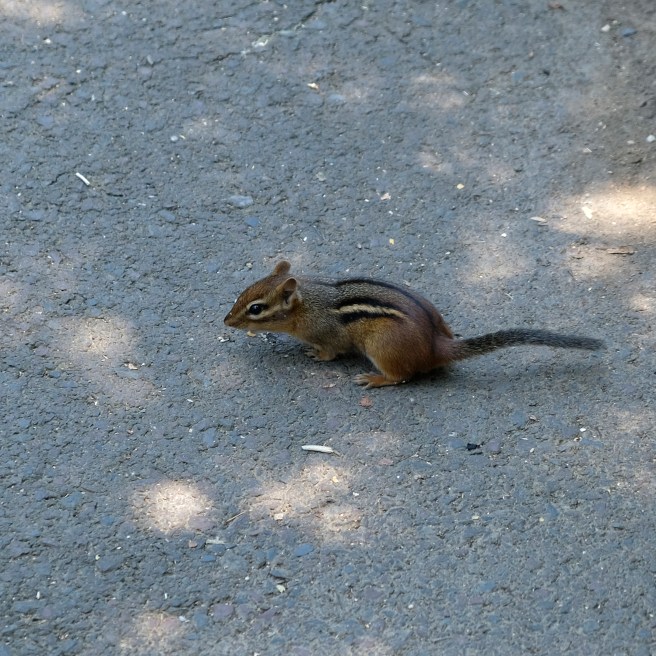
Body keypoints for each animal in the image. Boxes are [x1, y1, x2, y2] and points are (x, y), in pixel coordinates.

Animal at [224, 260, 605, 388]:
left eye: (256, 308)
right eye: (242, 294)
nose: (226, 321)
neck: (308, 302)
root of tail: (437, 347)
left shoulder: (328, 335)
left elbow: (330, 352)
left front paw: (316, 355)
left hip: (381, 347)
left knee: (402, 376)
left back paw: (375, 379)